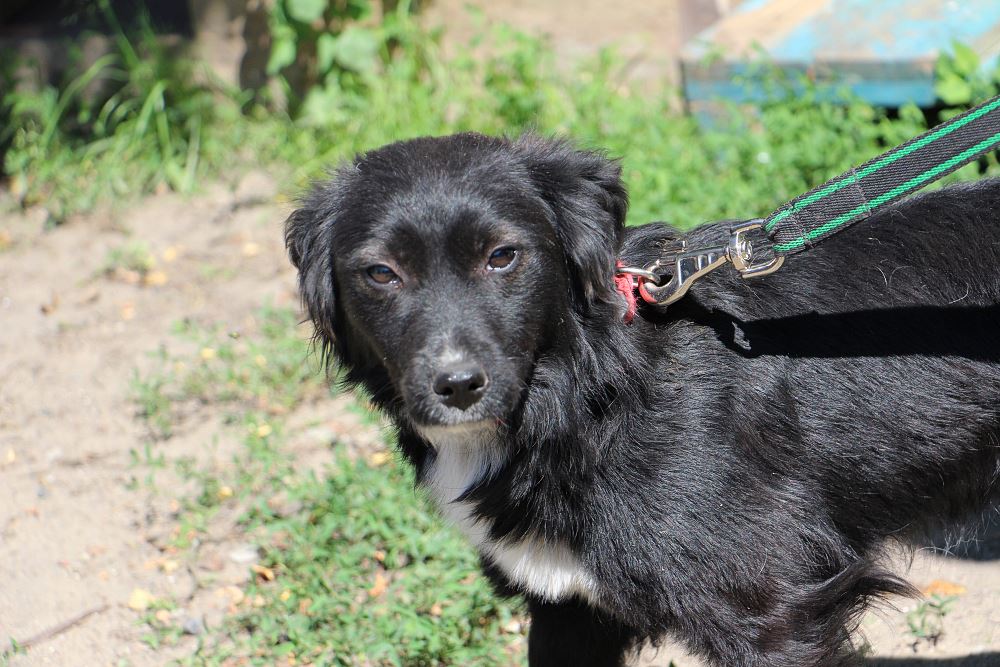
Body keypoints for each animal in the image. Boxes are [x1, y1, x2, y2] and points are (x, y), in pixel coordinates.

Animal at [284, 132, 1000, 666]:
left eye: (502, 256)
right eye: (381, 273)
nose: (457, 385)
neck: (588, 389)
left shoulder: (775, 612)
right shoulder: (568, 613)